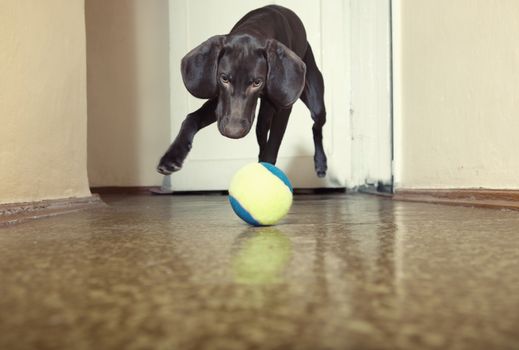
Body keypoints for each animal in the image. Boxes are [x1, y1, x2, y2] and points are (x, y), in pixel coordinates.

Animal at [158, 5, 328, 179]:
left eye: (257, 82)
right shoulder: (221, 106)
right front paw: (172, 156)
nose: (233, 132)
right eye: (224, 78)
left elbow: (273, 147)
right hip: (263, 120)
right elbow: (191, 118)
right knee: (262, 138)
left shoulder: (283, 109)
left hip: (316, 104)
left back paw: (320, 163)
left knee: (316, 127)